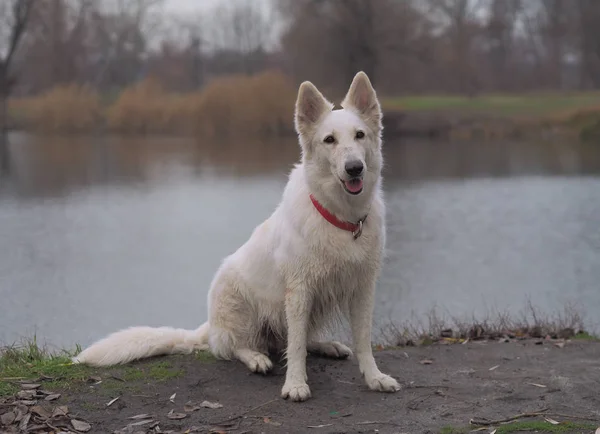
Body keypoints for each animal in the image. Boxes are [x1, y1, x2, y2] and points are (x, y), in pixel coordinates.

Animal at [76, 70, 404, 400]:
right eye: (329, 140)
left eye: (359, 135)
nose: (354, 168)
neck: (342, 218)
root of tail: (210, 326)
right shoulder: (299, 292)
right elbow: (296, 347)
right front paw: (295, 384)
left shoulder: (362, 289)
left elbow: (361, 341)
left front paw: (374, 377)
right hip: (243, 306)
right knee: (238, 347)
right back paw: (256, 358)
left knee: (287, 342)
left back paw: (327, 346)